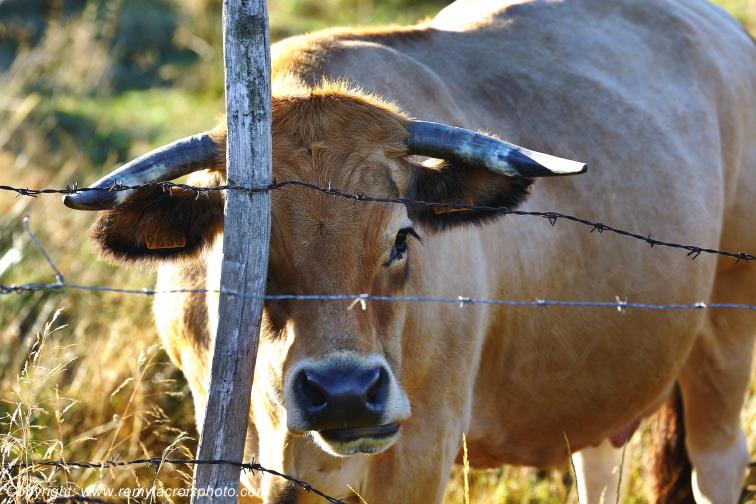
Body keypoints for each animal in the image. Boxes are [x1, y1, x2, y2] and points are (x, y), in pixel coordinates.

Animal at [63, 0, 756, 502]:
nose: (345, 390)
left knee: (718, 465)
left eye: (402, 236)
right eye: (245, 242)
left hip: (725, 336)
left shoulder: (423, 448)